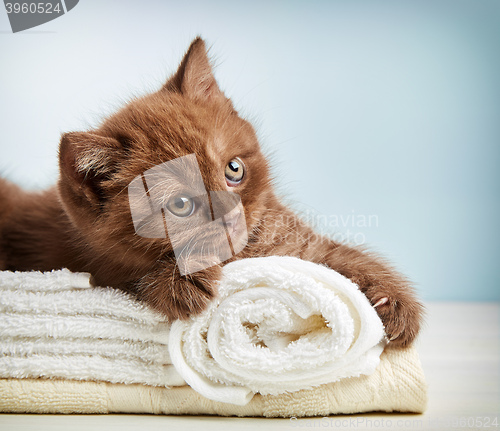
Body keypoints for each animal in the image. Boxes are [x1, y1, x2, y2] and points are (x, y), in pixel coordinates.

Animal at [0, 37, 422, 348]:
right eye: (180, 205)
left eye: (233, 169)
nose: (232, 216)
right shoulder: (92, 267)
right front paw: (182, 279)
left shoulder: (293, 243)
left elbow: (339, 256)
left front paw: (393, 301)